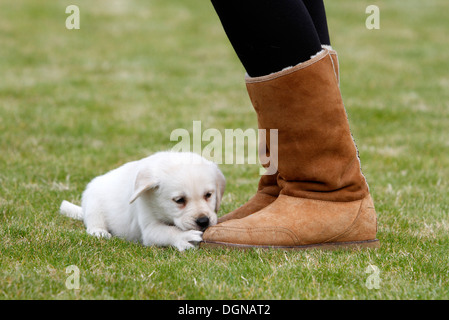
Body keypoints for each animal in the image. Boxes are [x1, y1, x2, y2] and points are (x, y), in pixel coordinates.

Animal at [59, 151, 224, 251]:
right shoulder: (149, 229)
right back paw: (100, 232)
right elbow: (169, 231)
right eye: (179, 200)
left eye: (208, 195)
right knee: (94, 222)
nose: (203, 221)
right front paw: (184, 237)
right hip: (93, 204)